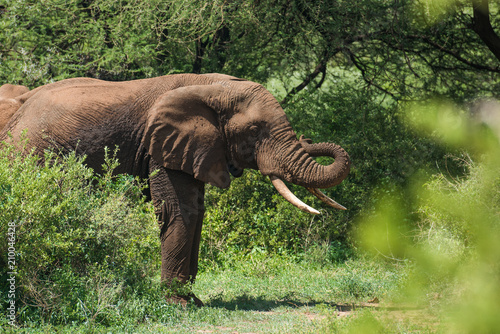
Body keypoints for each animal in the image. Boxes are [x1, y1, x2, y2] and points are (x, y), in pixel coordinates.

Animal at [0, 74, 352, 306]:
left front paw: (192, 301)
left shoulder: (195, 147)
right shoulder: (161, 145)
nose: (308, 139)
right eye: (254, 130)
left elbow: (198, 210)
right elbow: (181, 210)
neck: (212, 87)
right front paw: (179, 305)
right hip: (35, 151)